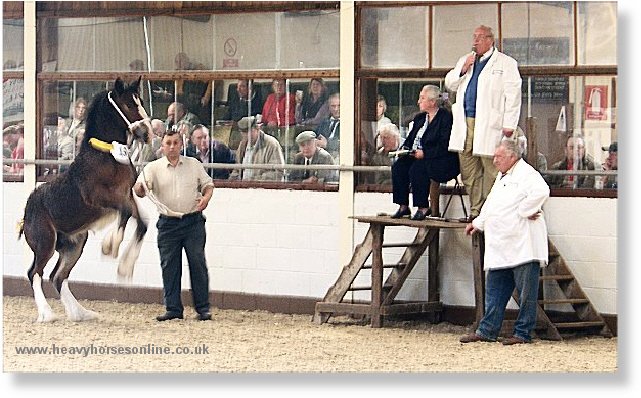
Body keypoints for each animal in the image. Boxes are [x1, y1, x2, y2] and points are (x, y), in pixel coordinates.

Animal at [18, 76, 152, 322]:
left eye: (141, 101)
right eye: (129, 104)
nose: (147, 132)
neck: (106, 156)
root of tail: (26, 213)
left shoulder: (126, 195)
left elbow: (142, 223)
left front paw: (125, 267)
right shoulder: (99, 197)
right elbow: (126, 214)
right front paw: (110, 246)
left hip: (75, 244)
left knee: (58, 276)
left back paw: (80, 313)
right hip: (45, 243)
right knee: (35, 273)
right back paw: (47, 314)